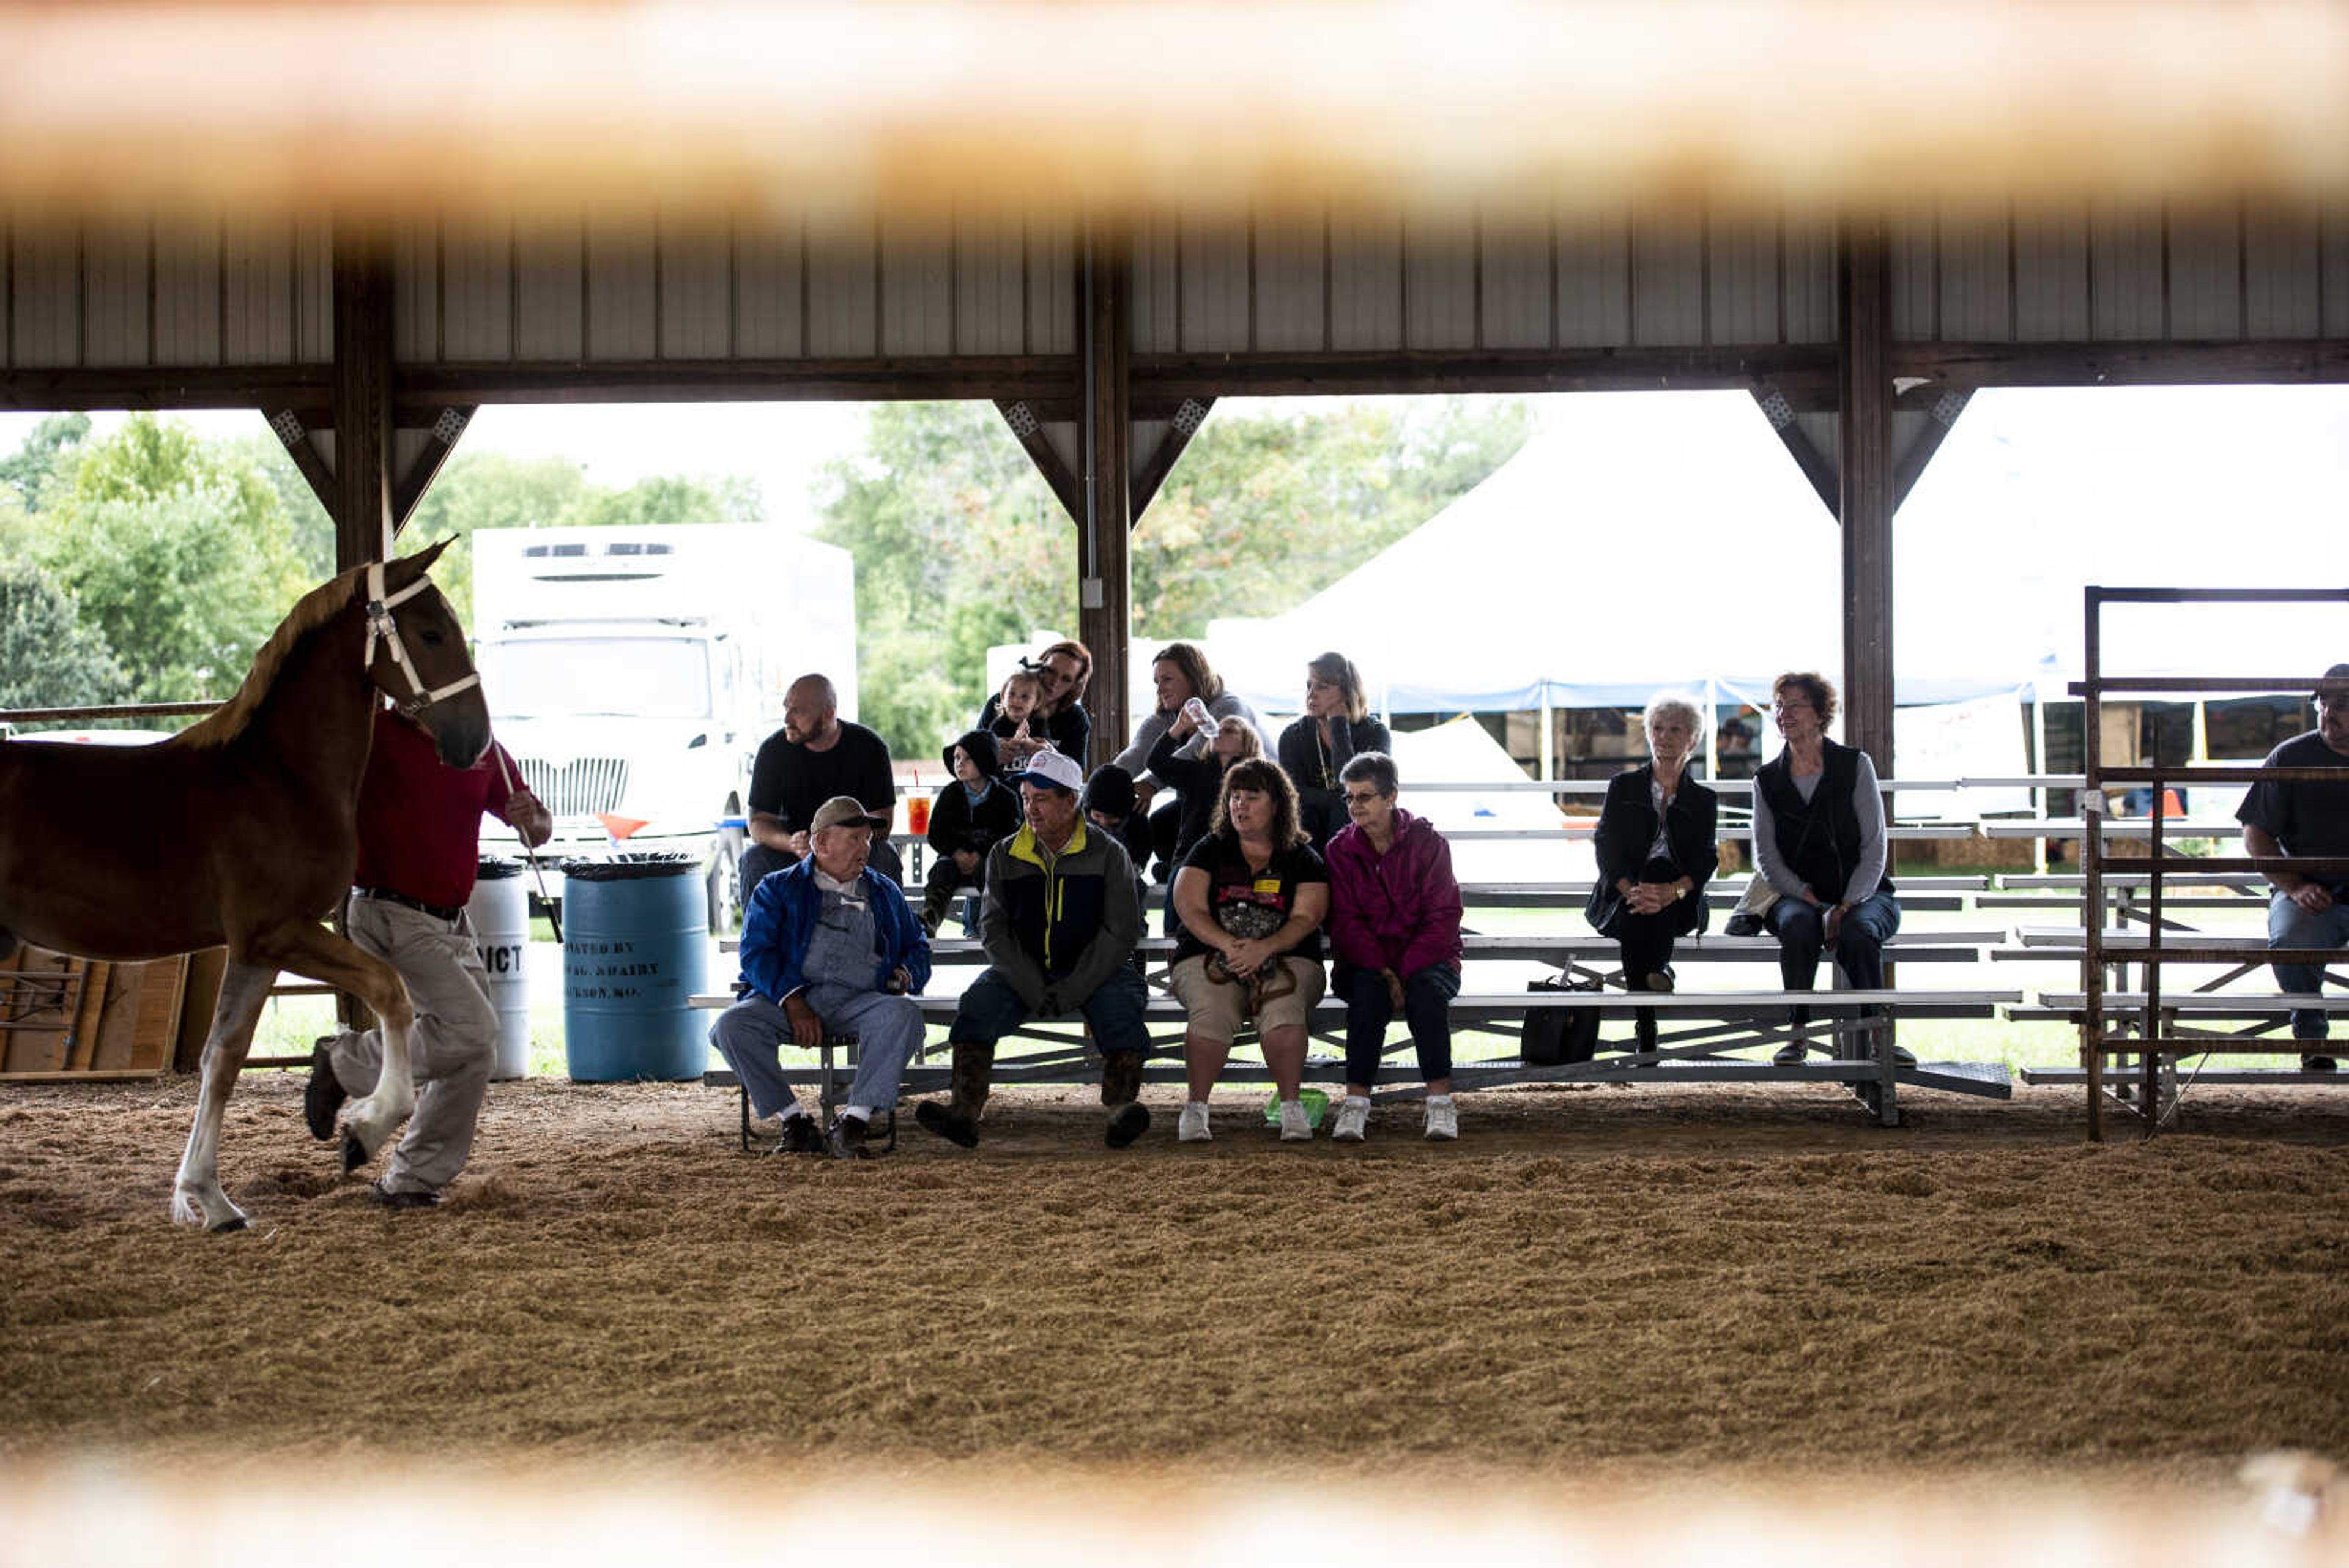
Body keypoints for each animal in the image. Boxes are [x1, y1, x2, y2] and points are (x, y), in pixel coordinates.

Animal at [0, 545, 488, 1232]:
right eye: (430, 633)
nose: (475, 739)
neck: (278, 777)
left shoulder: (258, 953)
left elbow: (223, 1059)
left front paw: (209, 1198)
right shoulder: (278, 933)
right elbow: (390, 991)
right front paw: (365, 1128)